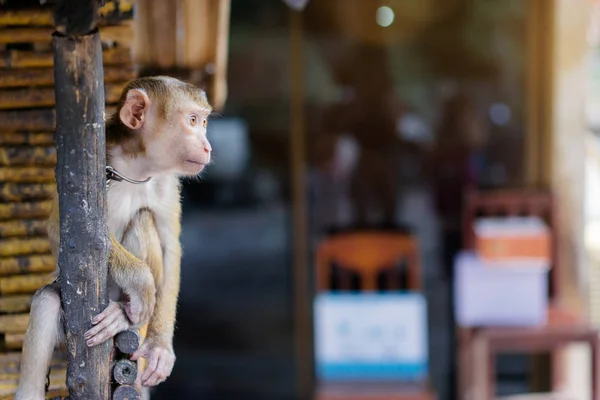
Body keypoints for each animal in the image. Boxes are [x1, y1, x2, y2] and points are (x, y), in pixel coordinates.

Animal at [14, 76, 213, 400]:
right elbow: (59, 228)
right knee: (46, 302)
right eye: (193, 120)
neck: (135, 167)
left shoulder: (165, 182)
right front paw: (141, 281)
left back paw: (121, 314)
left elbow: (171, 246)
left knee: (143, 218)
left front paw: (160, 346)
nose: (207, 146)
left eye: (204, 122)